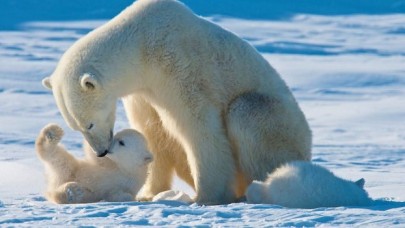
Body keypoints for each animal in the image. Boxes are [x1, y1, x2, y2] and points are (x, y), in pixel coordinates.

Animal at [41, 0, 310, 205]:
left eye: (89, 124)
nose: (101, 152)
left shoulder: (179, 66)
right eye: (75, 126)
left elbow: (199, 128)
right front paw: (149, 193)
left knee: (246, 114)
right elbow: (154, 131)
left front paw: (205, 198)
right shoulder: (142, 91)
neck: (142, 45)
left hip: (281, 125)